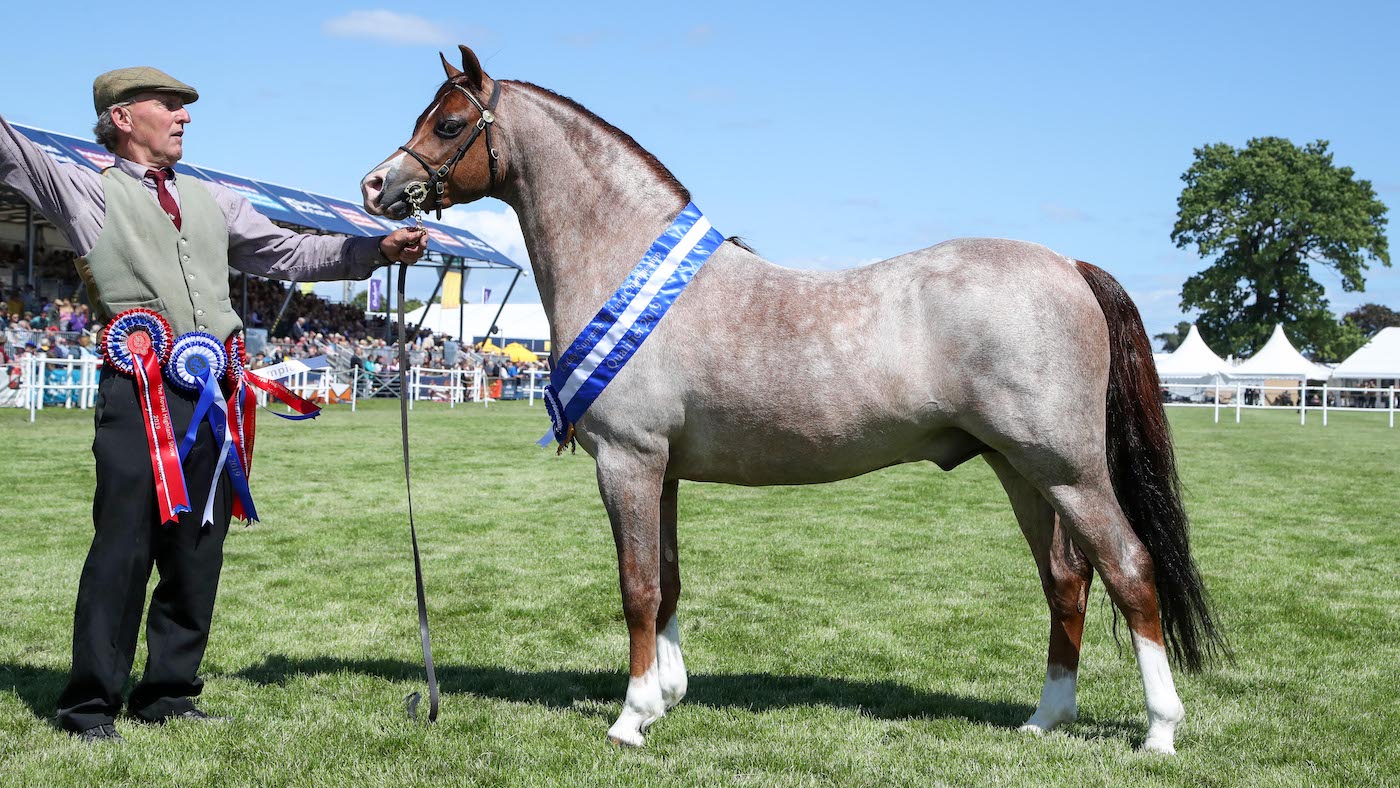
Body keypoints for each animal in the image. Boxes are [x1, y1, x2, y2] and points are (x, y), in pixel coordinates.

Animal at [360, 46, 1227, 754]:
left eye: (447, 123)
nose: (376, 186)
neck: (628, 261)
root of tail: (1071, 265)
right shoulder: (664, 471)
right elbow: (669, 579)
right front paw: (668, 697)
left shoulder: (627, 461)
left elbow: (637, 587)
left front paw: (632, 717)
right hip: (1021, 470)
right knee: (1066, 582)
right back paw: (1045, 719)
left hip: (1068, 470)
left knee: (1129, 569)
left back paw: (1159, 731)